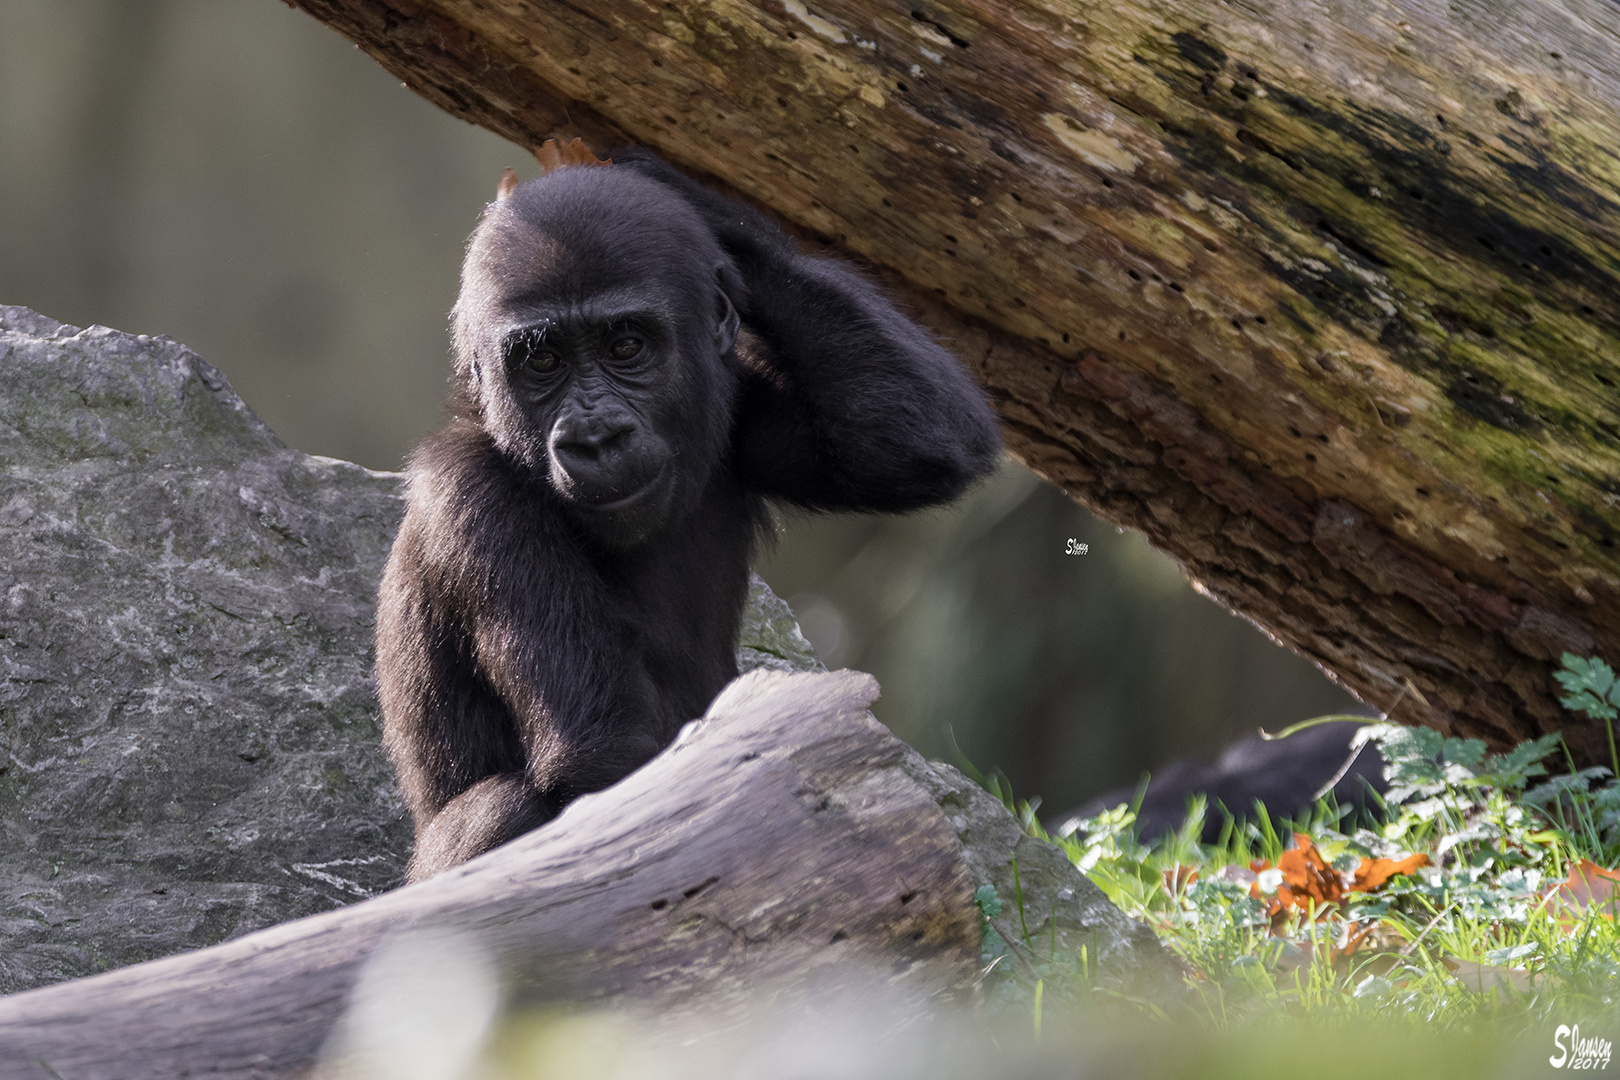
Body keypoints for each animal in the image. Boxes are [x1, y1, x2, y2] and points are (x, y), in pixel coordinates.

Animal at [377, 149, 997, 880]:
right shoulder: (475, 501)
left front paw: (706, 207)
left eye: (625, 346)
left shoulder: (739, 402)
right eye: (544, 360)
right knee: (505, 808)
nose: (594, 438)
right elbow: (607, 760)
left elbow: (916, 440)